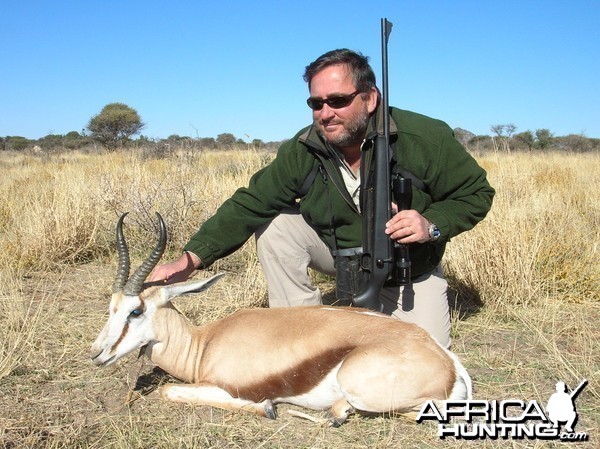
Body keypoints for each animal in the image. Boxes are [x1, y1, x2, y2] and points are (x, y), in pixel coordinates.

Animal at [90, 212, 474, 426]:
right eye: (110, 307)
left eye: (136, 310)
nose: (97, 353)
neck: (205, 344)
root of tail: (448, 362)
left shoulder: (229, 386)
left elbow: (170, 390)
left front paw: (267, 409)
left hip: (361, 387)